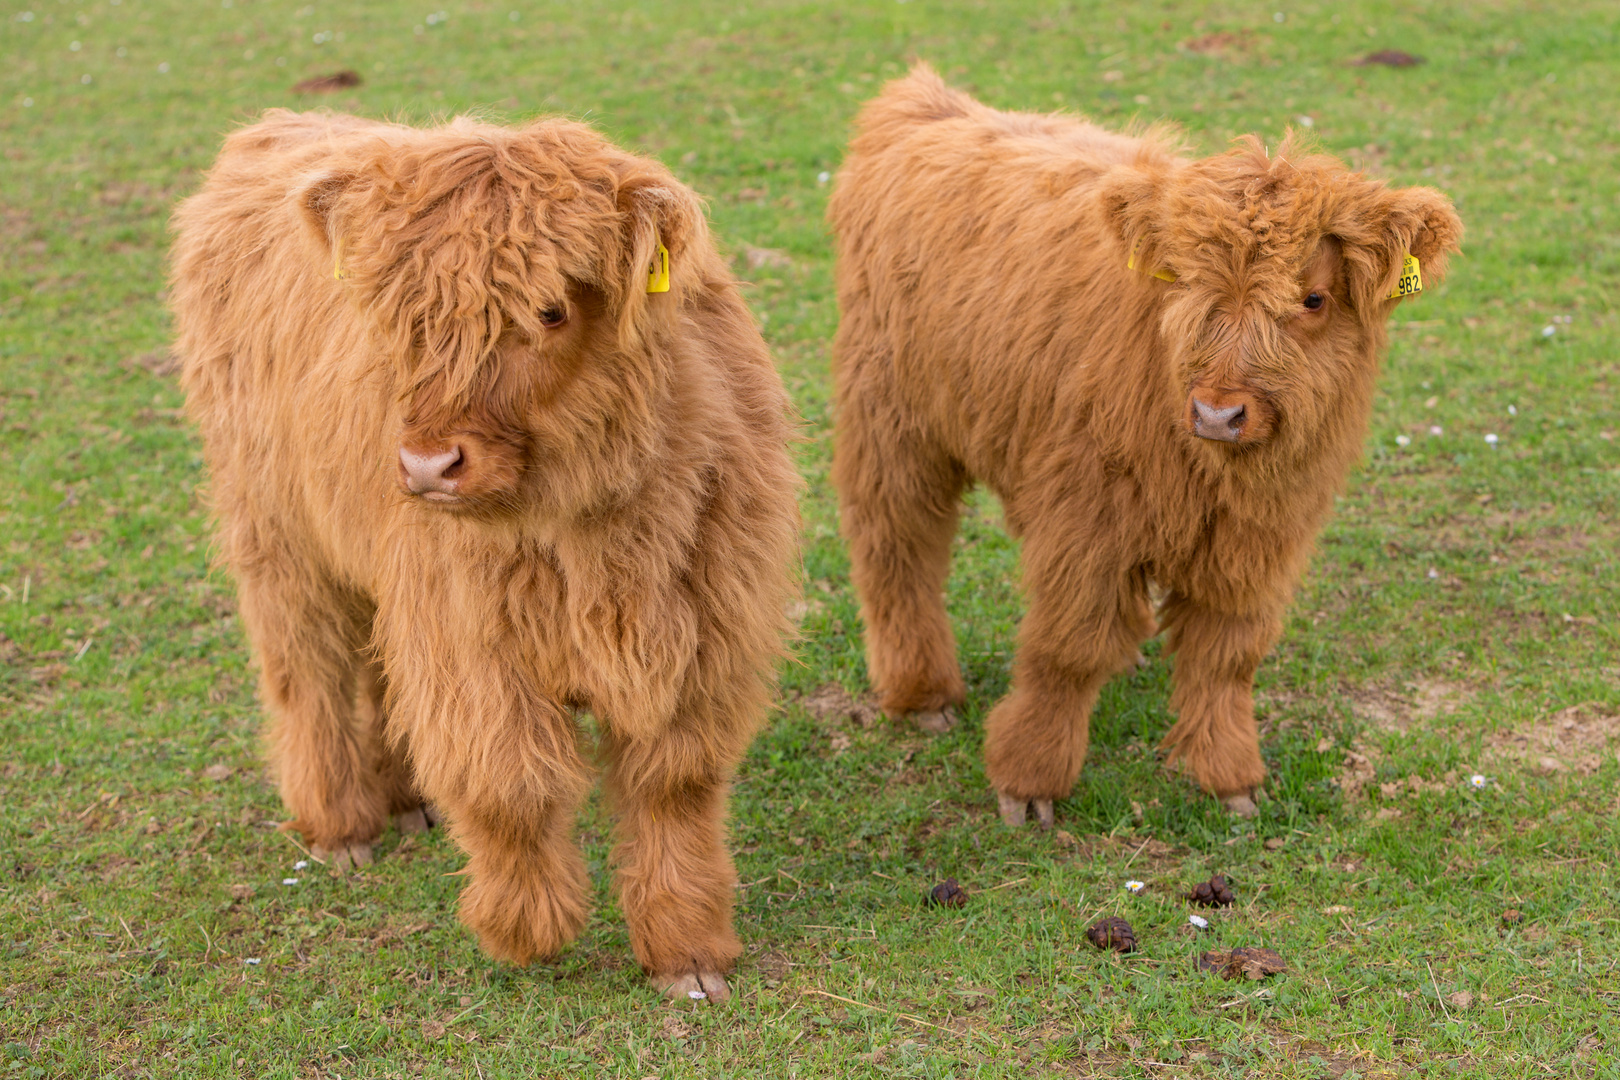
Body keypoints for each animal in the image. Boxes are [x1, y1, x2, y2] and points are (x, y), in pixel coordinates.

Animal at [170, 105, 797, 1003]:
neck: (599, 540)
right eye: (397, 314)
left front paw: (689, 953)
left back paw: (402, 798)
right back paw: (340, 826)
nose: (429, 465)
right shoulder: (467, 636)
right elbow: (508, 785)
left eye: (550, 310)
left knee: (373, 664)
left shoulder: (705, 630)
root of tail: (286, 123)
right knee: (306, 667)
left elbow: (674, 786)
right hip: (276, 533)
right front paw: (526, 930)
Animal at [829, 67, 1464, 829]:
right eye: (1187, 282)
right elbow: (1067, 647)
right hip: (890, 418)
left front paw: (1229, 778)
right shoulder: (1086, 516)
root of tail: (926, 102)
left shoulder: (1263, 536)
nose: (1219, 413)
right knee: (897, 545)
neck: (1211, 473)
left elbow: (1227, 655)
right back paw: (922, 695)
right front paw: (1028, 783)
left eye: (1313, 299)